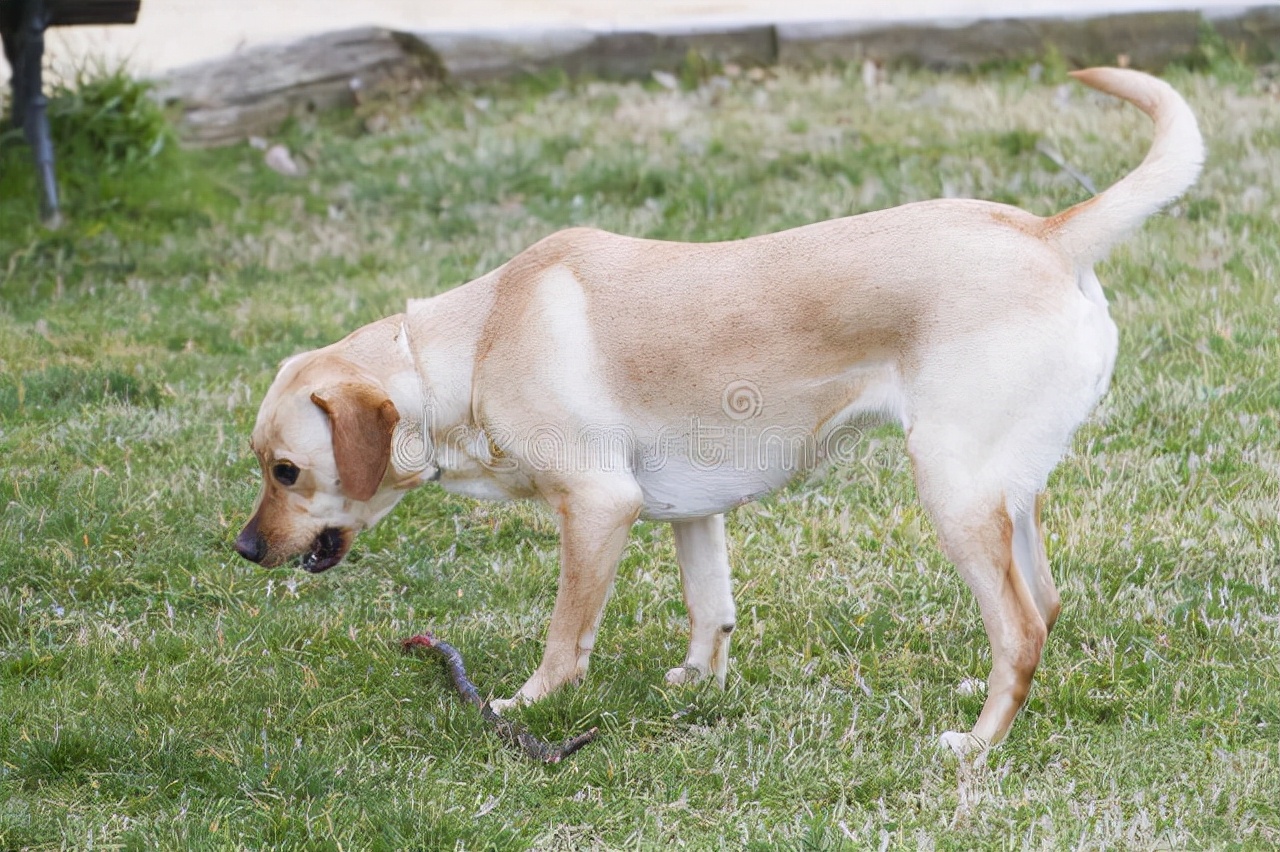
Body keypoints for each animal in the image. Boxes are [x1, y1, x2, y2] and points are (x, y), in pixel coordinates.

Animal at [232, 69, 1198, 752]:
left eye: (287, 471)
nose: (242, 549)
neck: (467, 348)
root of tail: (1048, 233)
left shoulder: (598, 509)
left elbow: (565, 637)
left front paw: (529, 704)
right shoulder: (690, 511)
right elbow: (710, 608)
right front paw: (700, 682)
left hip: (951, 488)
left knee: (1023, 628)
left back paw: (977, 745)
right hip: (1004, 492)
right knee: (1044, 605)